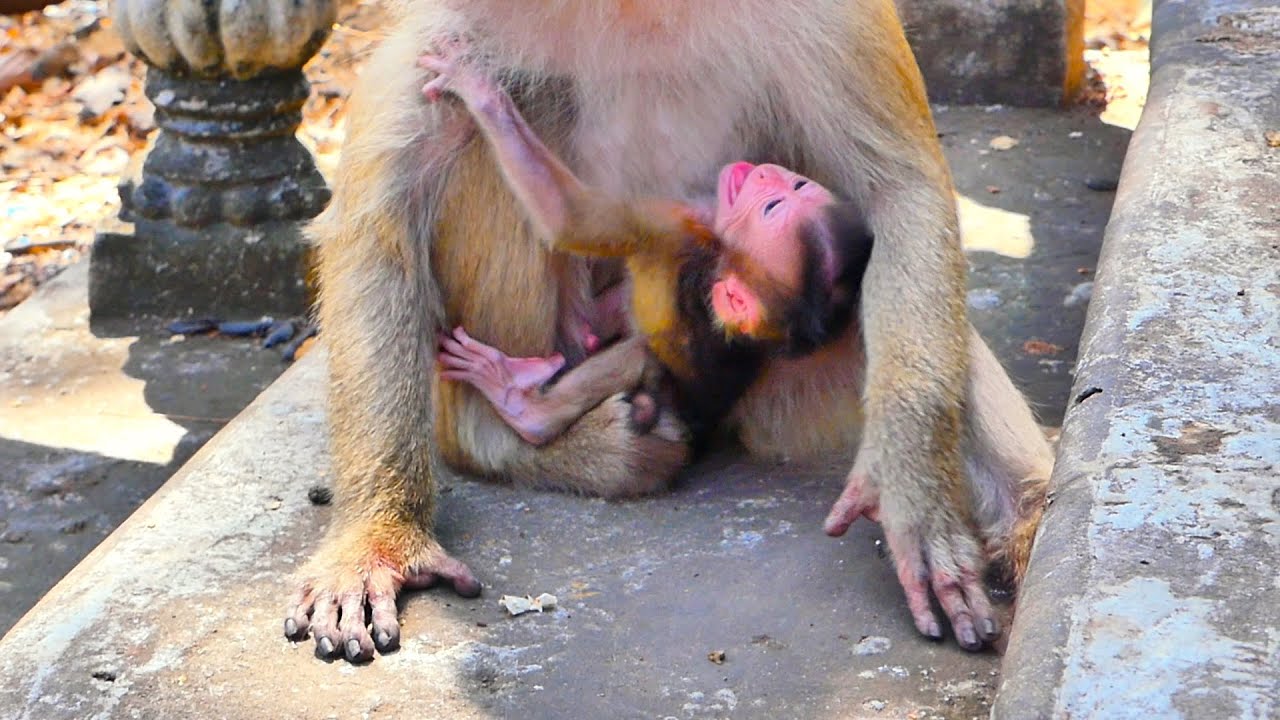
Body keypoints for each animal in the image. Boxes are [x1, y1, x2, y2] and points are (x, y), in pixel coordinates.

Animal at [418, 40, 873, 449]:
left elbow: (570, 218)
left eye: (772, 207)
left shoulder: (674, 224)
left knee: (639, 354)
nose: (766, 174)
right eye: (795, 187)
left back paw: (524, 406)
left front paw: (481, 93)